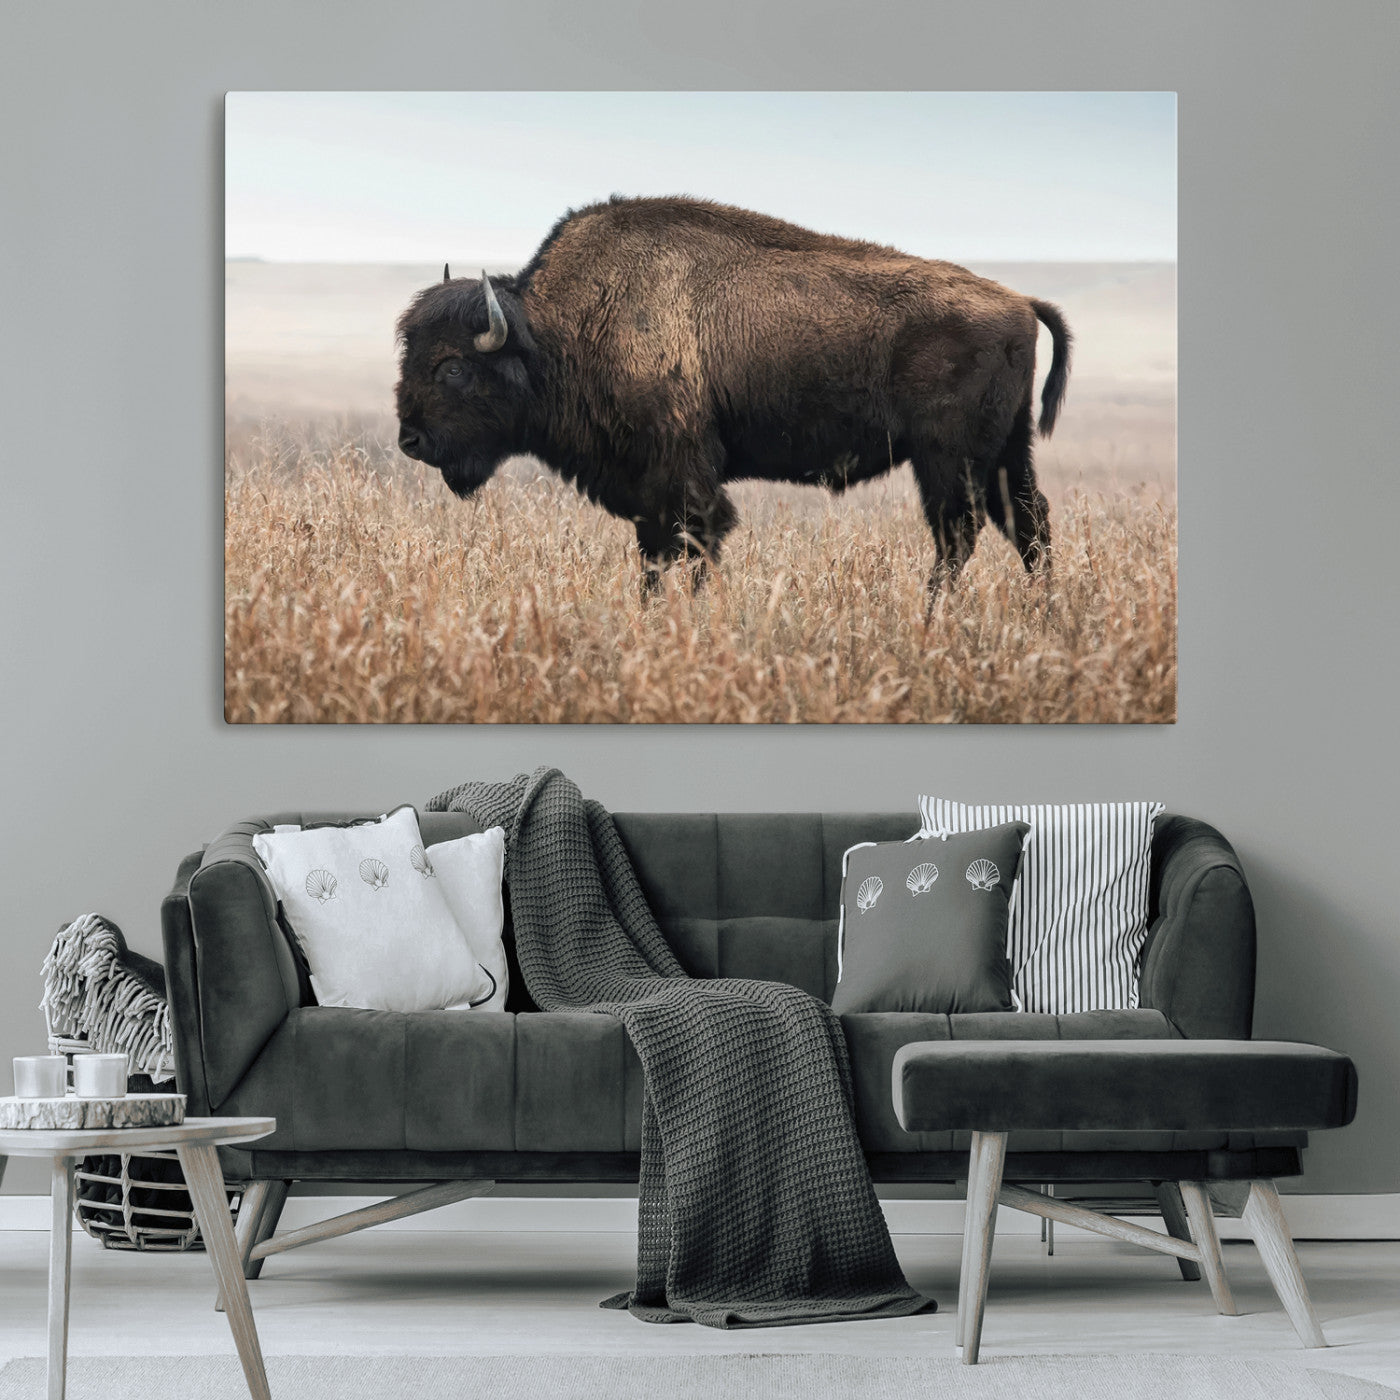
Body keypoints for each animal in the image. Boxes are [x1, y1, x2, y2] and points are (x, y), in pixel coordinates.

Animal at [395, 195, 1070, 594]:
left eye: (452, 368)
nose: (410, 441)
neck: (557, 331)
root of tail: (1018, 301)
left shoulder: (683, 479)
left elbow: (693, 544)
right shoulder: (648, 492)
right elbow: (655, 556)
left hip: (947, 459)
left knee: (959, 534)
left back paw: (932, 617)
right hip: (1005, 454)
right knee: (1027, 525)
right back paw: (1042, 616)